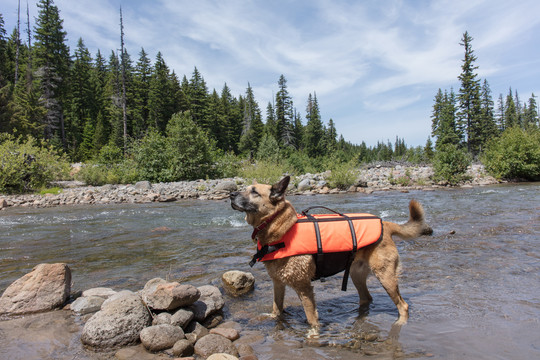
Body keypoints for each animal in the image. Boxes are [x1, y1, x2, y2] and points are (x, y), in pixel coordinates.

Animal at [230, 176, 432, 334]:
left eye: (254, 192)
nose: (231, 195)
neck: (281, 229)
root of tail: (386, 223)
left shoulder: (304, 287)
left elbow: (311, 318)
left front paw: (313, 335)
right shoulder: (278, 283)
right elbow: (276, 308)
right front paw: (272, 318)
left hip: (386, 276)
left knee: (403, 305)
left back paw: (400, 322)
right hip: (356, 275)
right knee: (366, 298)